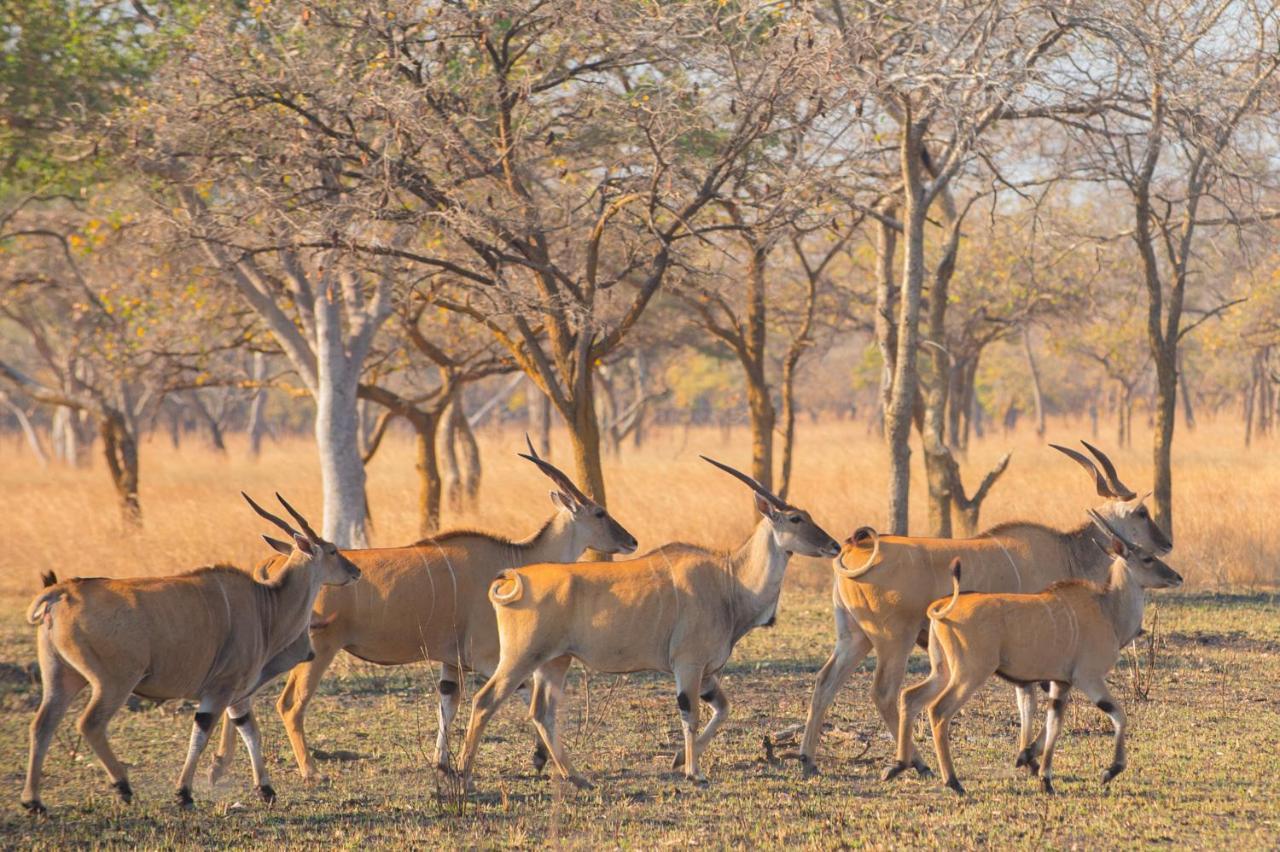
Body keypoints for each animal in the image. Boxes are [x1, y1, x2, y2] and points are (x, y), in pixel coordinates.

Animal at [20, 493, 358, 813]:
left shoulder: (237, 695)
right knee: (89, 723)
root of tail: (61, 592)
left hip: (62, 678)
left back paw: (33, 801)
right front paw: (184, 793)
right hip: (114, 682)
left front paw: (266, 790)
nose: (354, 571)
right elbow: (203, 733)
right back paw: (123, 786)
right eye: (332, 551)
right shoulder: (222, 688)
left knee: (42, 724)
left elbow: (250, 731)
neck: (267, 604)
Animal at [208, 437, 640, 782]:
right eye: (599, 513)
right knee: (289, 705)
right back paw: (310, 771)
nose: (632, 540)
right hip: (319, 650)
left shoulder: (452, 661)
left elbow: (447, 703)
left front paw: (443, 764)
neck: (514, 558)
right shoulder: (488, 656)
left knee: (240, 698)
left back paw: (222, 767)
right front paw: (536, 759)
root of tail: (273, 564)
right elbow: (515, 692)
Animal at [455, 455, 844, 788]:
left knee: (541, 713)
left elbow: (723, 709)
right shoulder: (688, 665)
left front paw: (678, 760)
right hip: (520, 659)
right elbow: (691, 715)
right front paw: (694, 772)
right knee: (485, 701)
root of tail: (513, 579)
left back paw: (576, 777)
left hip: (554, 662)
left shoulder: (707, 673)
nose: (835, 546)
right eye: (795, 519)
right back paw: (464, 774)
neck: (729, 579)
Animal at [798, 440, 1172, 777]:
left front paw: (1028, 757)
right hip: (894, 639)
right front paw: (1030, 756)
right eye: (1141, 513)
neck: (1068, 551)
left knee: (825, 682)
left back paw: (808, 760)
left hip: (854, 637)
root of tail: (853, 548)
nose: (1167, 542)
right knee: (885, 693)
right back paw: (918, 763)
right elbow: (1037, 696)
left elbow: (1028, 697)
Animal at [896, 511, 1182, 798]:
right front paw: (1110, 770)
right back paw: (953, 781)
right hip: (969, 674)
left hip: (943, 671)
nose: (1177, 577)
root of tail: (940, 607)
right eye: (1147, 558)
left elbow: (1054, 724)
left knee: (910, 696)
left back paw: (899, 765)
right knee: (938, 711)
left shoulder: (1061, 682)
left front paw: (1042, 774)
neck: (1107, 608)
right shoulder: (1088, 678)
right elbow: (1119, 715)